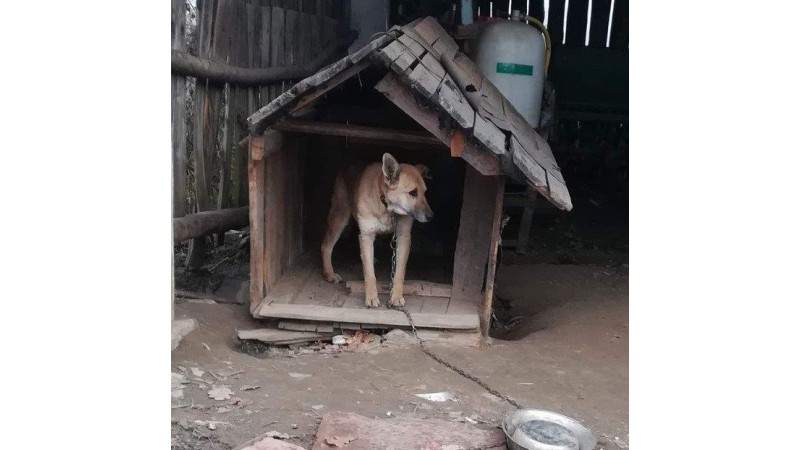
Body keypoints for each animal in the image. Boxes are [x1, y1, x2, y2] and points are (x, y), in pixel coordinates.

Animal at [320, 153, 434, 308]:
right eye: (413, 193)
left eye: (424, 192)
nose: (431, 216)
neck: (386, 205)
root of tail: (348, 166)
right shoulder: (367, 235)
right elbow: (369, 274)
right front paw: (371, 297)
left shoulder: (403, 237)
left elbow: (399, 273)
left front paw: (396, 297)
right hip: (340, 217)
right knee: (326, 246)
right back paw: (329, 274)